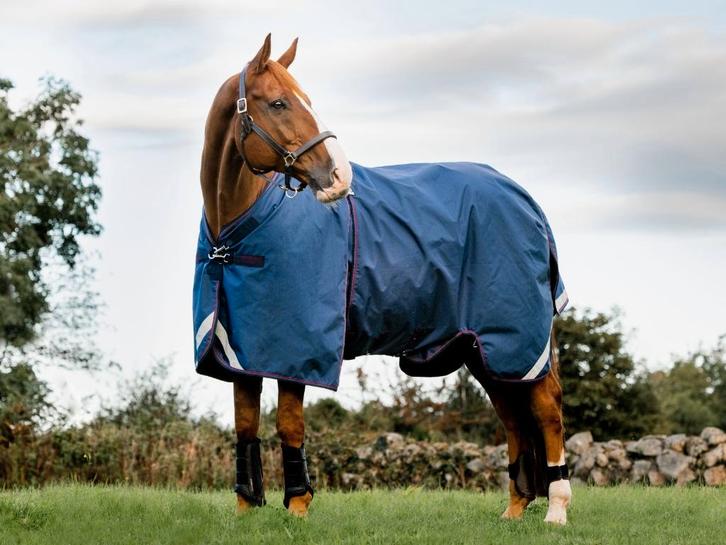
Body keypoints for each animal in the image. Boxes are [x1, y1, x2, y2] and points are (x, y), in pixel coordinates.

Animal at [195, 34, 572, 524]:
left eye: (306, 100)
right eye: (278, 103)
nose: (338, 176)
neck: (235, 234)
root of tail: (527, 201)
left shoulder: (295, 350)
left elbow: (289, 425)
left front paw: (297, 506)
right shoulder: (243, 351)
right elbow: (245, 427)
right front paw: (246, 511)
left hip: (516, 340)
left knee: (545, 410)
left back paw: (556, 509)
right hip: (484, 350)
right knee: (512, 417)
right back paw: (513, 510)